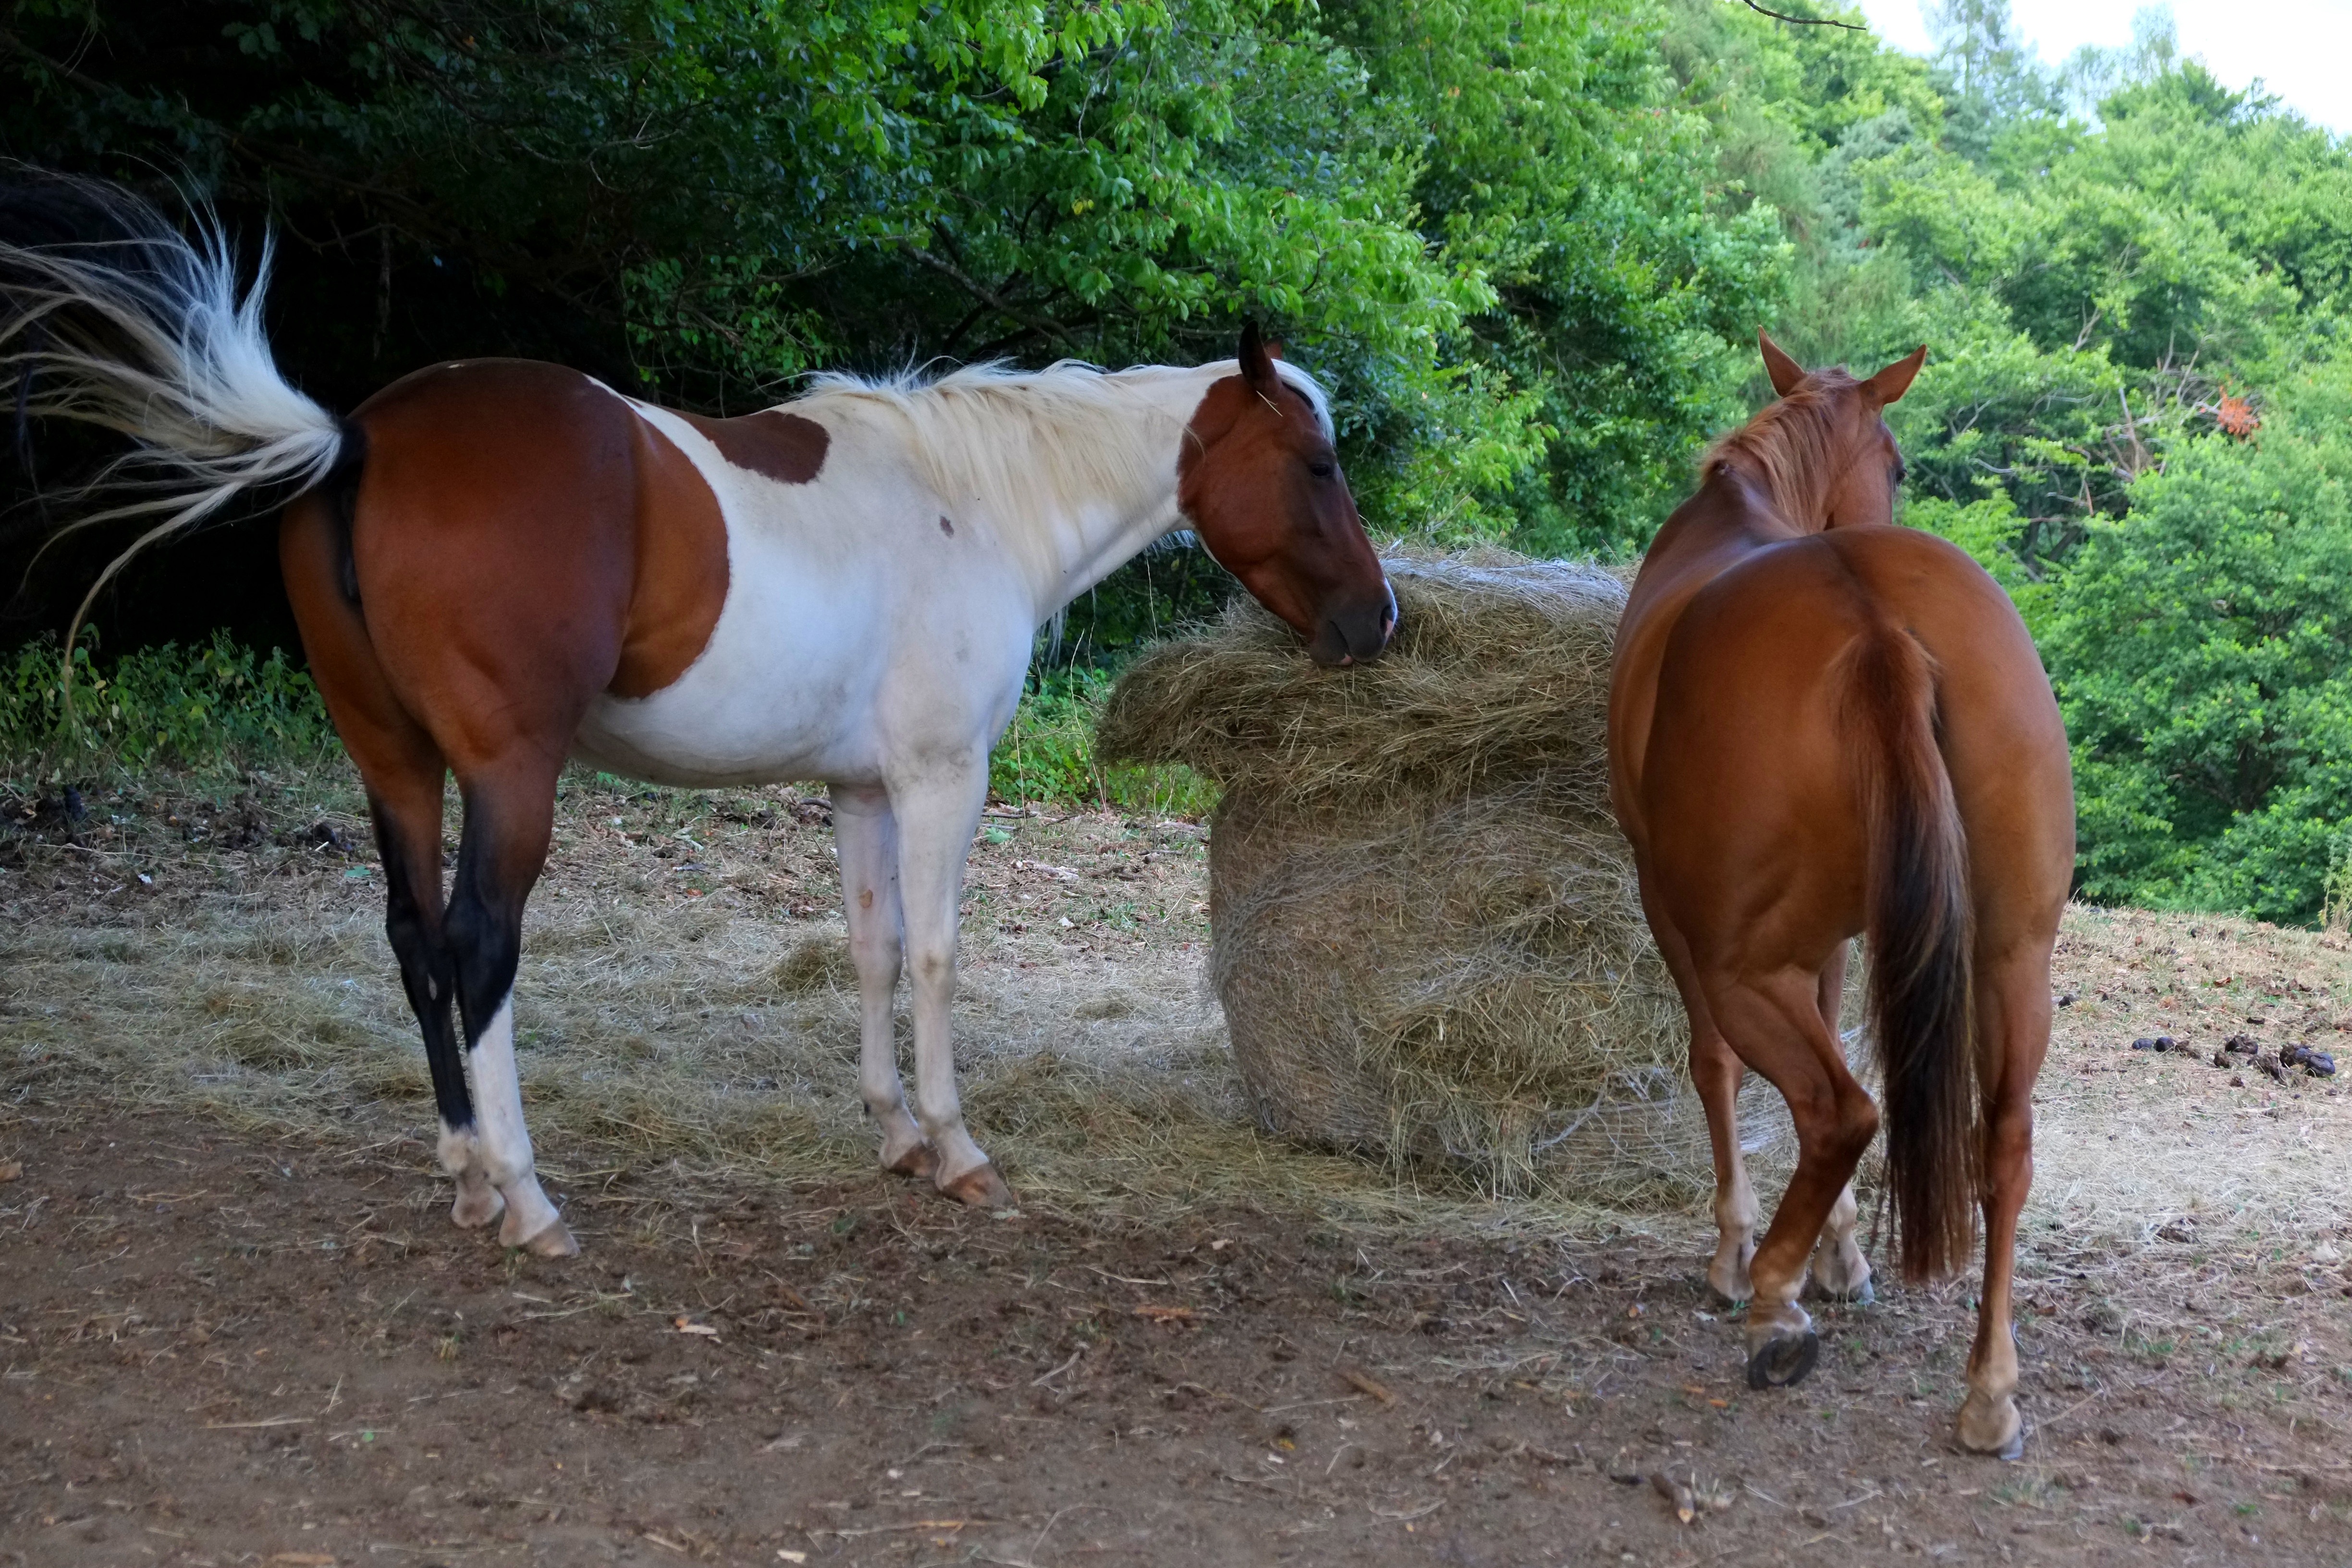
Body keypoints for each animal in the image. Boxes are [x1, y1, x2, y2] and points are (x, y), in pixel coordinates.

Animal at [0, 184, 1392, 1260]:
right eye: (1318, 466)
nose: (1374, 622)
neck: (970, 504)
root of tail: (357, 439)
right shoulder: (943, 779)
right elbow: (940, 956)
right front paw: (956, 1148)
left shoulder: (863, 789)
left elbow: (874, 951)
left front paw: (894, 1133)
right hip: (509, 780)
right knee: (476, 946)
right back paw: (525, 1196)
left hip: (392, 765)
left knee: (413, 942)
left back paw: (464, 1174)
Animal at [1608, 331, 2070, 1458]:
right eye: (1898, 464)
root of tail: (1875, 624)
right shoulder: (1850, 934)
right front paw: (1844, 1248)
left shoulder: (1668, 905)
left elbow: (1715, 1067)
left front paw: (1746, 1253)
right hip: (2011, 954)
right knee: (2002, 1142)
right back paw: (1989, 1388)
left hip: (1738, 962)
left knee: (1837, 1106)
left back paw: (1772, 1297)